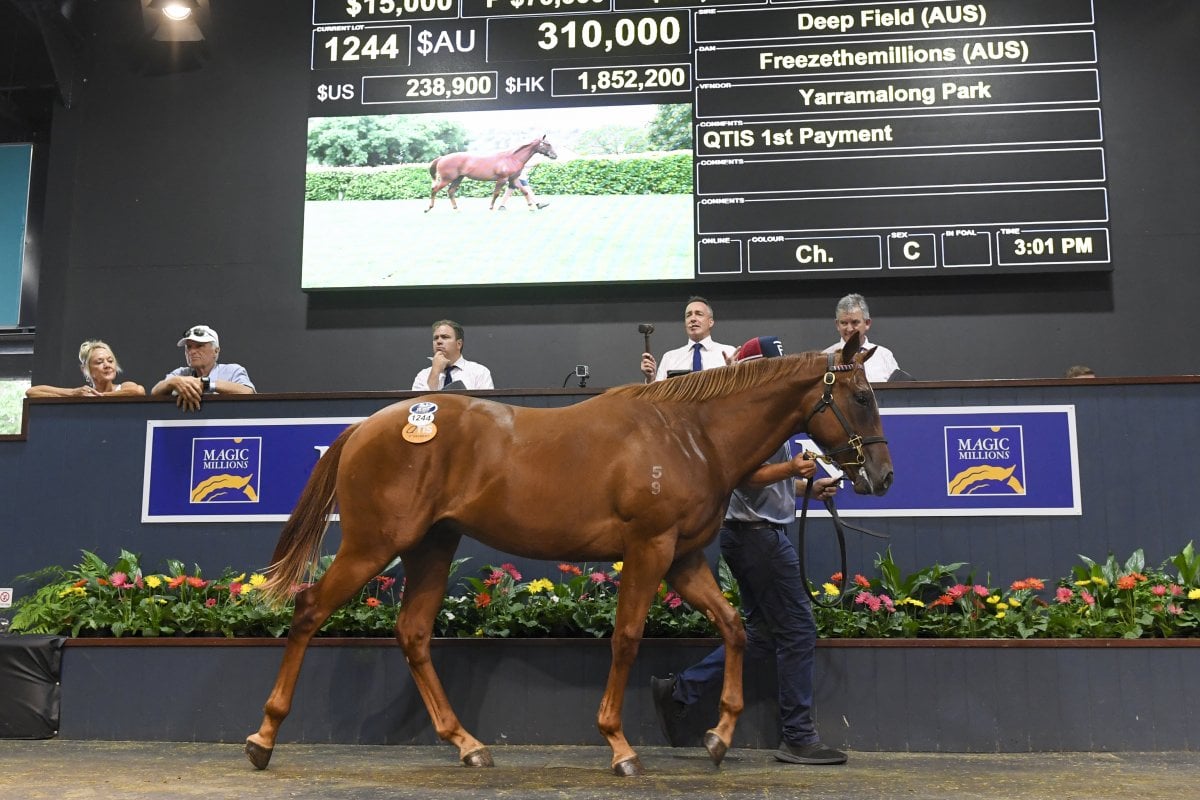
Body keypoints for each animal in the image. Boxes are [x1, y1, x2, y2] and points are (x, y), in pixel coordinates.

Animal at [246, 335, 892, 777]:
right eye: (862, 395)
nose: (881, 476)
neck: (688, 433)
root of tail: (363, 427)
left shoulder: (682, 558)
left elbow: (733, 627)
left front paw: (718, 736)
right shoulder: (649, 548)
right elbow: (627, 638)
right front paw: (620, 746)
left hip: (433, 545)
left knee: (412, 634)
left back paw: (468, 745)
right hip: (374, 546)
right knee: (308, 610)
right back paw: (263, 739)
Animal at [427, 137, 556, 212]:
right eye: (547, 144)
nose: (555, 156)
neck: (511, 158)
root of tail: (442, 158)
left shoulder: (513, 179)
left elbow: (525, 191)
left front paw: (531, 206)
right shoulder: (502, 179)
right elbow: (496, 193)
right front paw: (491, 207)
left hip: (457, 179)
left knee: (450, 192)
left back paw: (456, 209)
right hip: (446, 179)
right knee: (434, 190)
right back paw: (429, 208)